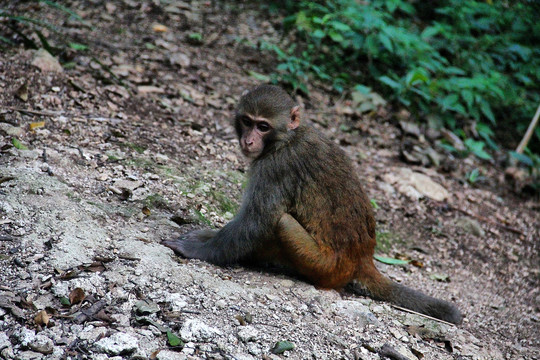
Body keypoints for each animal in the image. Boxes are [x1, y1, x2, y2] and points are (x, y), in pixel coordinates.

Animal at [162, 83, 462, 324]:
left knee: (281, 222)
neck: (286, 138)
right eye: (247, 121)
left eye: (263, 126)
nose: (248, 140)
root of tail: (362, 259)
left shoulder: (274, 167)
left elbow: (256, 222)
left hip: (323, 266)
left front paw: (199, 249)